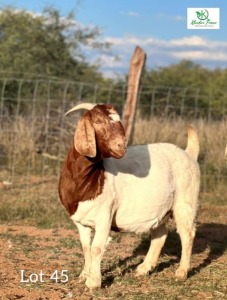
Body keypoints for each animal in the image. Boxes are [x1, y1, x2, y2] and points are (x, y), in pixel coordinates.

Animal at [58, 102, 200, 288]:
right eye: (97, 121)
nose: (121, 146)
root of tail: (189, 154)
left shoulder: (105, 215)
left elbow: (96, 248)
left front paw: (93, 283)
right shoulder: (80, 221)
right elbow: (86, 247)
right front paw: (83, 275)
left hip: (186, 200)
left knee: (187, 233)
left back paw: (182, 272)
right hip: (162, 207)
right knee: (160, 234)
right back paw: (144, 268)